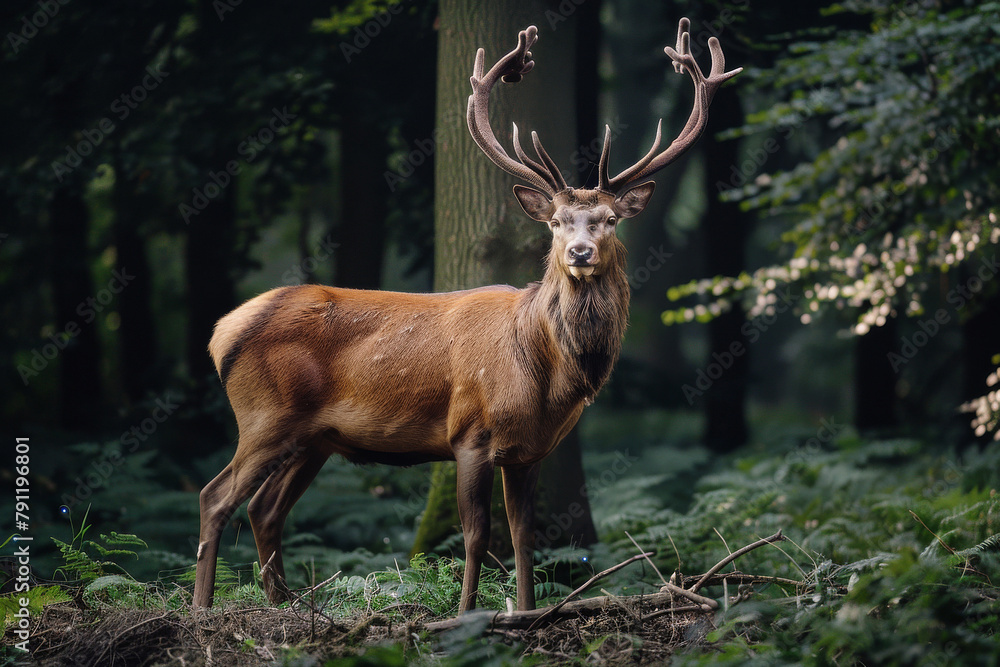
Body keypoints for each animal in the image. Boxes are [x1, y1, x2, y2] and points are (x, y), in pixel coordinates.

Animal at [193, 17, 740, 613]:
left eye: (610, 219)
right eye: (556, 223)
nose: (579, 253)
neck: (545, 376)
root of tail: (221, 332)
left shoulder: (529, 451)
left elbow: (525, 538)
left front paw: (525, 612)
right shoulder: (469, 434)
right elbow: (476, 535)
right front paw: (464, 616)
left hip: (314, 438)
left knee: (263, 508)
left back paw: (284, 604)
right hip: (264, 415)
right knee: (214, 495)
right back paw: (203, 608)